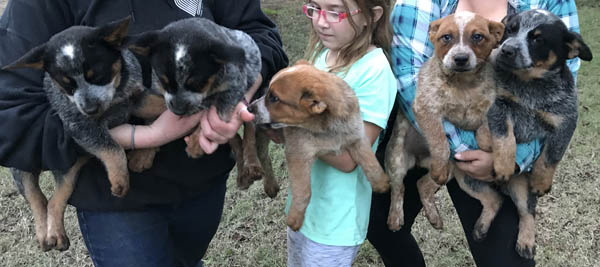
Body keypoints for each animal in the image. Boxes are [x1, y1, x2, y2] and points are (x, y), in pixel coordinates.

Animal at [1, 17, 159, 252]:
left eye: (98, 74)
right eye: (65, 84)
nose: (90, 109)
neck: (116, 95)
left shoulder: (136, 98)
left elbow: (161, 105)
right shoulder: (79, 124)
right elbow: (113, 148)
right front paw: (120, 179)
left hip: (70, 168)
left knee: (56, 198)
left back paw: (56, 234)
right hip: (23, 165)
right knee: (35, 198)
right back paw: (44, 234)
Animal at [129, 16, 278, 197]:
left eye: (198, 83)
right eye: (164, 81)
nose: (178, 110)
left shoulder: (234, 88)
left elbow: (216, 115)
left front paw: (196, 143)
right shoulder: (160, 90)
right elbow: (152, 113)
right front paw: (143, 153)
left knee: (250, 134)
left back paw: (255, 168)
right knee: (236, 140)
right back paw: (243, 175)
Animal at [247, 61, 390, 232]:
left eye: (274, 98)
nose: (249, 108)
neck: (329, 128)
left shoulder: (357, 137)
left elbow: (371, 162)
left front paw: (381, 183)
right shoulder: (298, 152)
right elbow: (304, 191)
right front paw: (295, 218)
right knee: (260, 153)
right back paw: (265, 182)